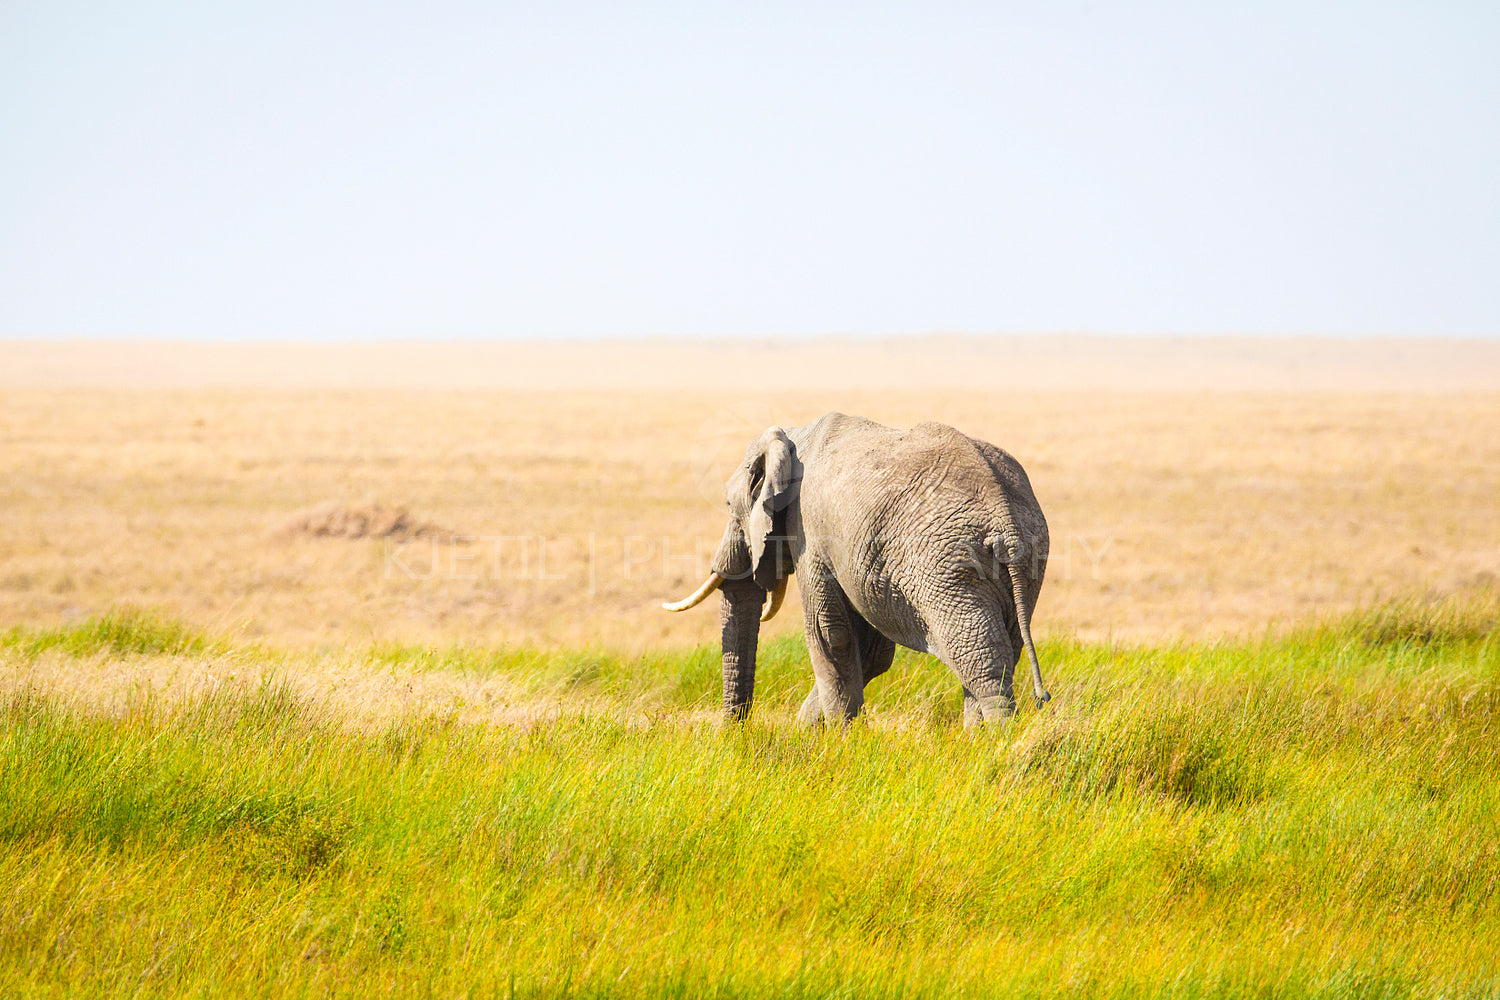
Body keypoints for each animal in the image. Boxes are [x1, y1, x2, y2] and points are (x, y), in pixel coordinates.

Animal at [663, 410, 1050, 731]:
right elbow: (871, 650)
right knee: (1004, 648)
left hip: (949, 565)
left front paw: (838, 739)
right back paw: (975, 741)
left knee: (979, 656)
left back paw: (997, 742)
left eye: (729, 504)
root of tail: (1003, 516)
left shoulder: (811, 532)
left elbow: (829, 633)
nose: (735, 735)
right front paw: (812, 731)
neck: (793, 436)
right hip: (1028, 560)